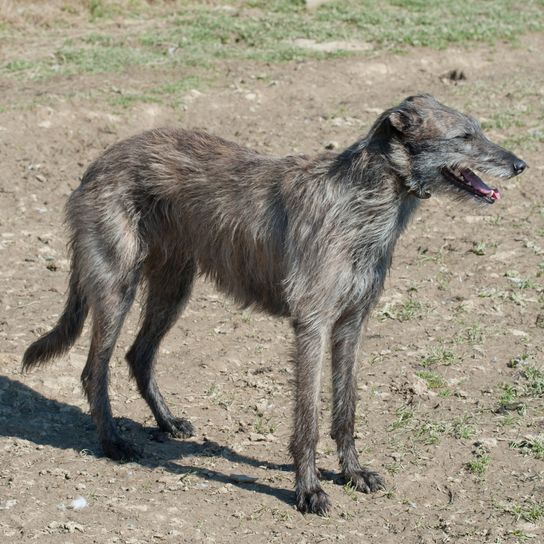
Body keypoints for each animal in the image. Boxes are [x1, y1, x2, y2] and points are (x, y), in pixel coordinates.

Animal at [22, 94, 528, 516]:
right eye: (464, 137)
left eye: (479, 130)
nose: (521, 164)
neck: (363, 198)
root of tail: (99, 161)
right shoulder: (312, 325)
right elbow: (308, 419)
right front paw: (309, 490)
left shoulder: (351, 324)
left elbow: (345, 409)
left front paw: (352, 472)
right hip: (117, 287)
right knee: (95, 370)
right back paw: (113, 443)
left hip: (173, 286)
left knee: (138, 355)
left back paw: (166, 422)